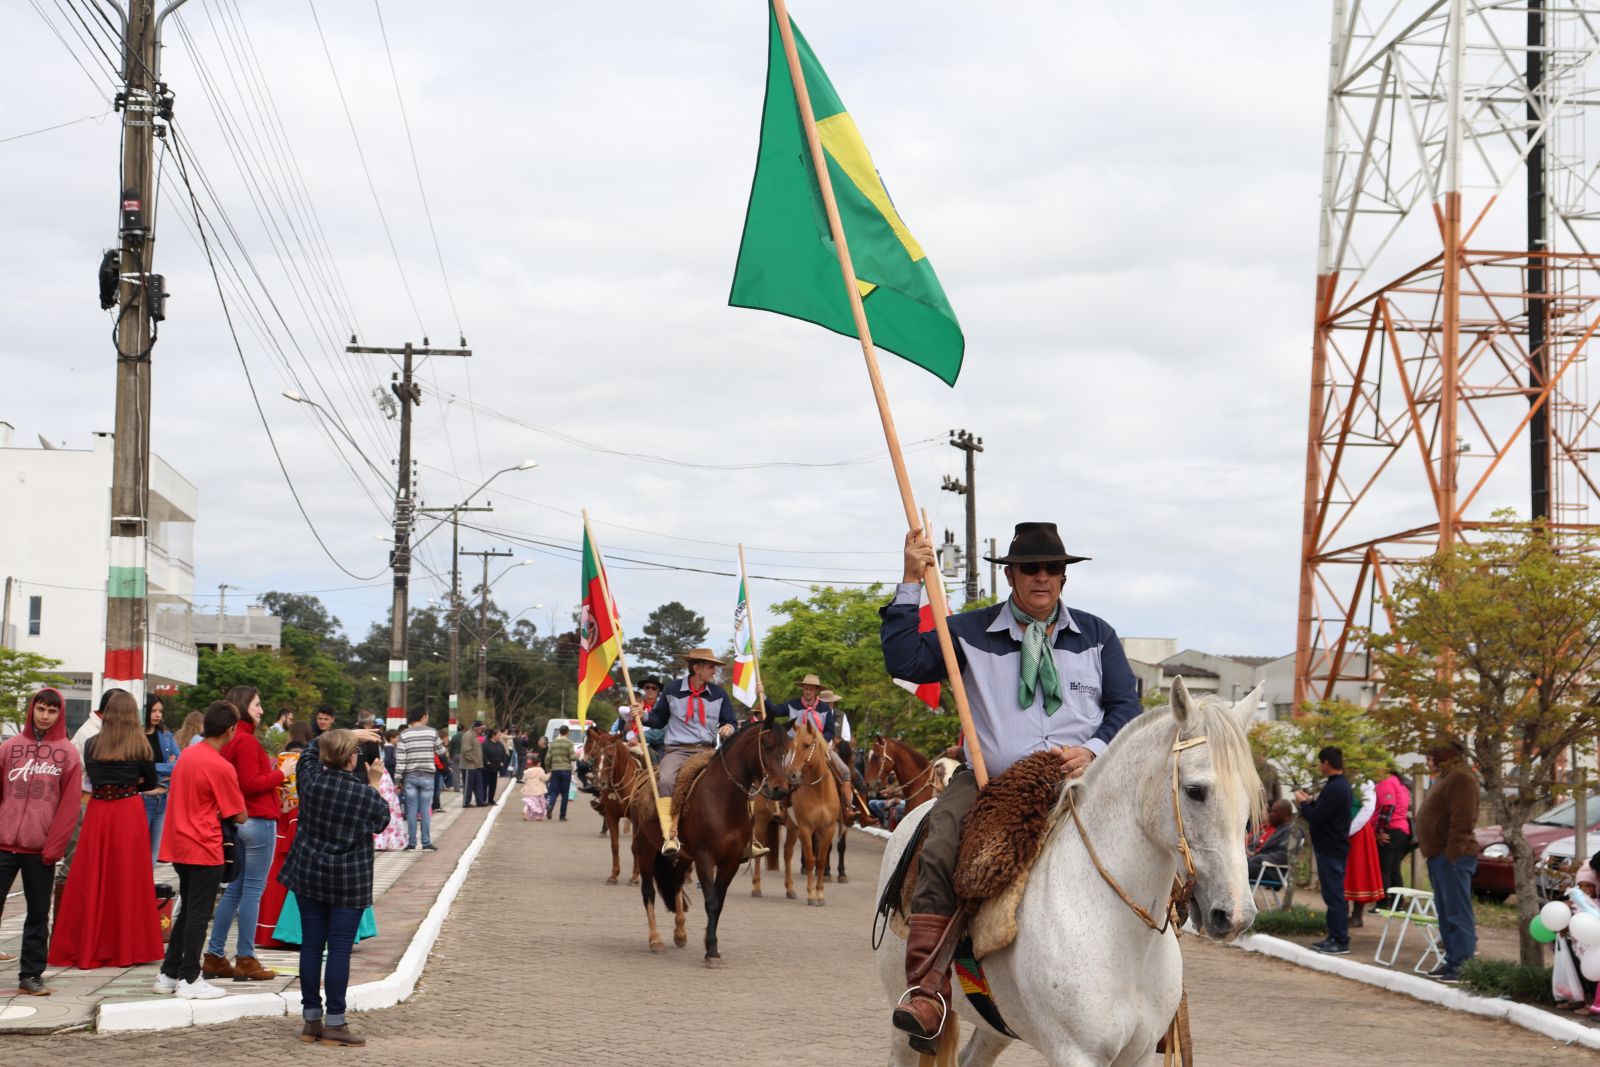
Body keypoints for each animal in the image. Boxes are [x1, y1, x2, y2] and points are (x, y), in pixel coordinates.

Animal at [630, 716, 793, 966]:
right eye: (767, 747)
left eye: (785, 751)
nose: (780, 789)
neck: (723, 800)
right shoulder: (704, 858)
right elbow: (711, 901)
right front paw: (712, 951)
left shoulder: (730, 861)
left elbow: (719, 901)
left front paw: (710, 944)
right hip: (645, 849)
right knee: (648, 891)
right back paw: (655, 940)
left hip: (684, 856)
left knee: (675, 883)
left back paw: (680, 933)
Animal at [780, 723, 844, 908]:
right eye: (792, 746)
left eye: (807, 745)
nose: (791, 775)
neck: (818, 791)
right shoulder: (806, 829)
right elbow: (810, 860)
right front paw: (811, 895)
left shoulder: (828, 829)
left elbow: (821, 860)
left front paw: (820, 893)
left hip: (792, 827)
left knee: (787, 852)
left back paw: (790, 889)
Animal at [876, 681, 1260, 1062]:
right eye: (1195, 791)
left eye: (1252, 795)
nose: (1236, 914)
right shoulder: (1075, 1053)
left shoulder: (1139, 1054)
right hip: (902, 1019)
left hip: (998, 1025)